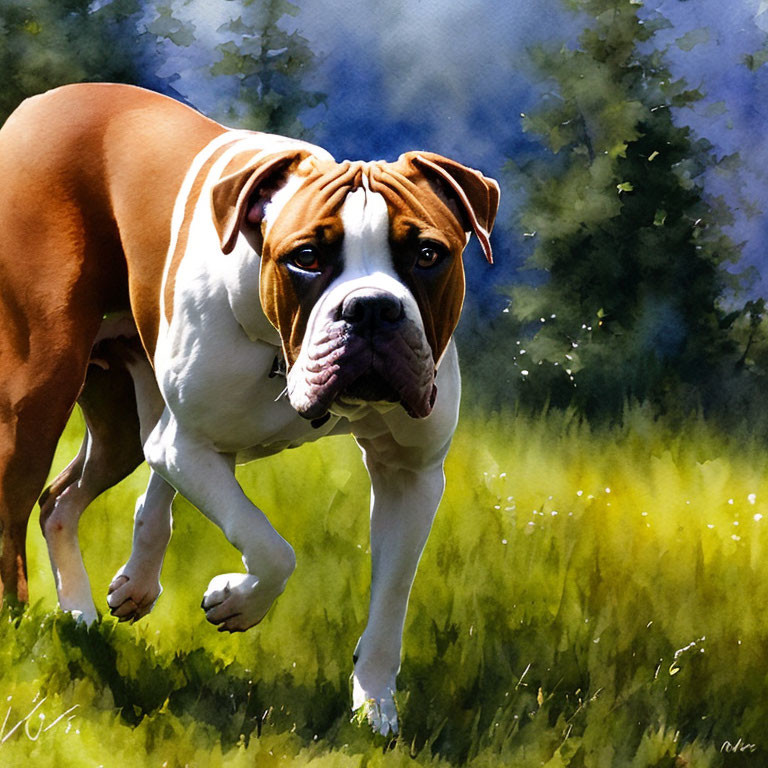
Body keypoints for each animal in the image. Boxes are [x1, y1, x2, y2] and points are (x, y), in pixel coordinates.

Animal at [0, 82, 498, 732]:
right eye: (306, 257)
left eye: (428, 255)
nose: (370, 308)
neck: (279, 355)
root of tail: (40, 103)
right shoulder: (186, 445)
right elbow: (270, 546)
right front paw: (235, 603)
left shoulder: (409, 476)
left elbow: (390, 601)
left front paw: (374, 711)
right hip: (39, 392)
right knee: (14, 515)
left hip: (118, 432)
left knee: (60, 499)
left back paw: (82, 618)